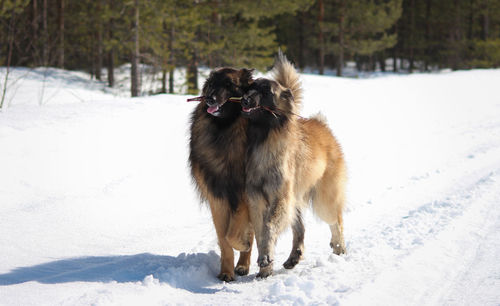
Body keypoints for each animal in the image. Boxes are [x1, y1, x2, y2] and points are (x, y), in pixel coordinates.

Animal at [189, 67, 256, 282]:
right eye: (211, 84)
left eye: (229, 84)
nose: (210, 99)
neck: (225, 131)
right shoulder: (217, 200)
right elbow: (224, 239)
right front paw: (226, 272)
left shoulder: (241, 197)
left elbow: (234, 234)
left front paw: (243, 245)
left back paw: (243, 264)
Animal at [240, 53, 346, 278]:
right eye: (250, 87)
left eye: (266, 91)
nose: (245, 99)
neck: (265, 136)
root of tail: (323, 126)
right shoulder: (256, 199)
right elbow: (261, 231)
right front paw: (265, 267)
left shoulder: (279, 196)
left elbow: (269, 226)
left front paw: (266, 258)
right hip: (295, 198)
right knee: (300, 229)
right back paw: (294, 256)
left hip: (323, 199)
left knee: (336, 220)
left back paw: (339, 247)